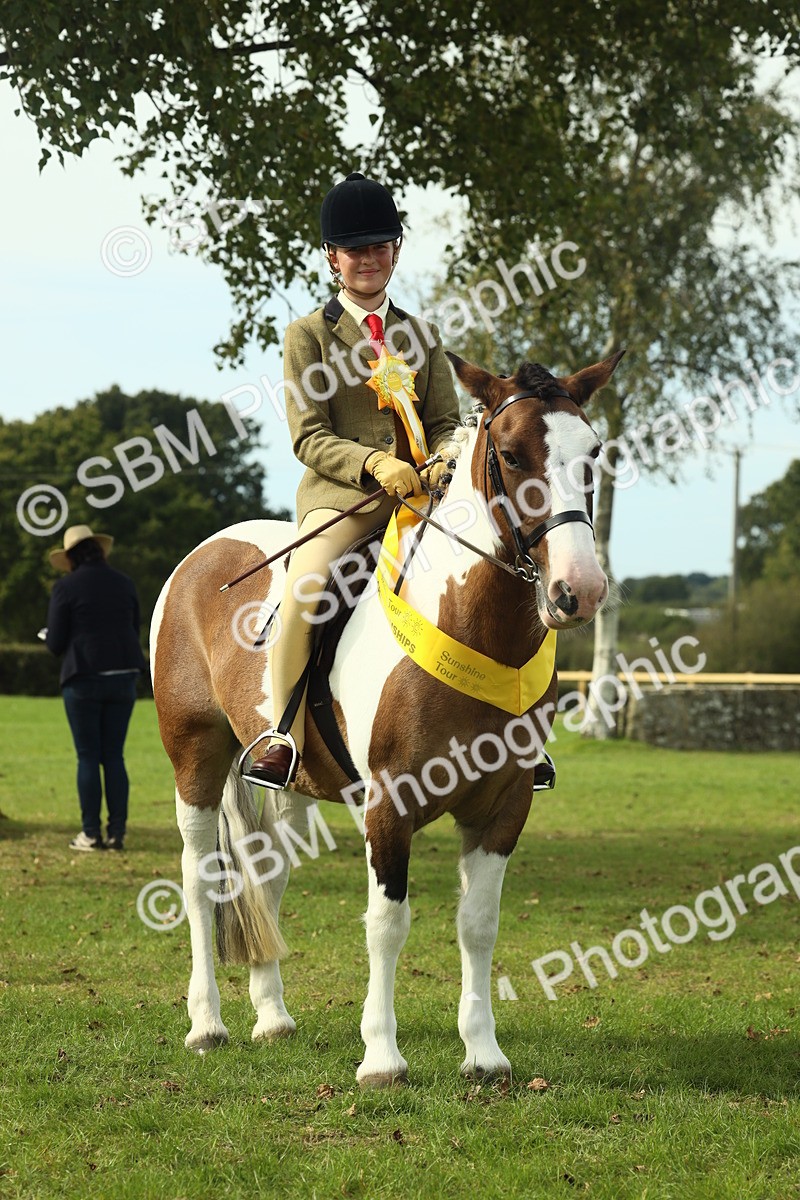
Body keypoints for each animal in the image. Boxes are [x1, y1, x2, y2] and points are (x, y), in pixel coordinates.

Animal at [150, 349, 623, 1086]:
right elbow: (387, 923)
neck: (467, 622)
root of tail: (205, 552)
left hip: (290, 781)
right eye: (511, 454)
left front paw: (484, 1053)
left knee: (267, 874)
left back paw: (272, 1016)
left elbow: (478, 924)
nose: (581, 590)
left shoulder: (503, 807)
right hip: (195, 755)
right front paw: (381, 1056)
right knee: (201, 879)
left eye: (593, 452)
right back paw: (207, 1025)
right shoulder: (389, 806)